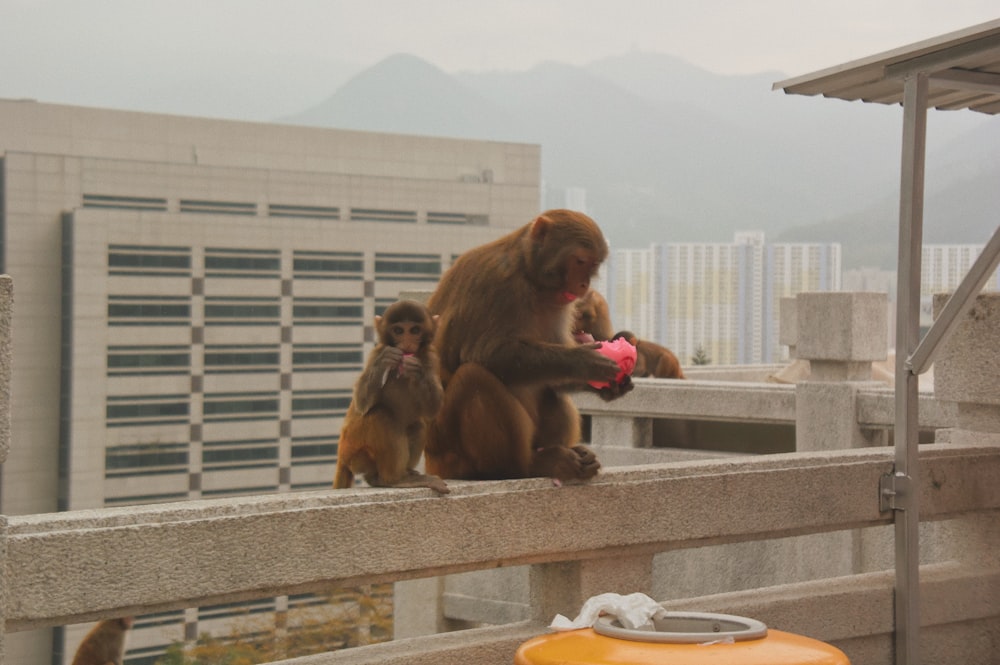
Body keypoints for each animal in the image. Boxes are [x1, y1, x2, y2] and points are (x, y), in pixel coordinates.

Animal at [332, 300, 450, 492]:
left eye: (414, 330)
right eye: (398, 331)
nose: (407, 343)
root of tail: (342, 458)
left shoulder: (431, 357)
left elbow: (432, 410)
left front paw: (418, 371)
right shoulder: (376, 353)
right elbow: (362, 404)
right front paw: (384, 361)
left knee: (417, 425)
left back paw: (392, 476)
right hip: (356, 453)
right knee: (381, 415)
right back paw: (394, 480)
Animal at [424, 210, 628, 480]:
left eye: (593, 265)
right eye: (580, 261)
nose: (584, 285)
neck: (531, 278)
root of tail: (432, 462)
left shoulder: (560, 304)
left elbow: (556, 370)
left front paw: (610, 387)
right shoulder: (497, 284)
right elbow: (486, 354)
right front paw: (585, 362)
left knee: (550, 389)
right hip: (448, 449)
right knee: (473, 377)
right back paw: (522, 466)